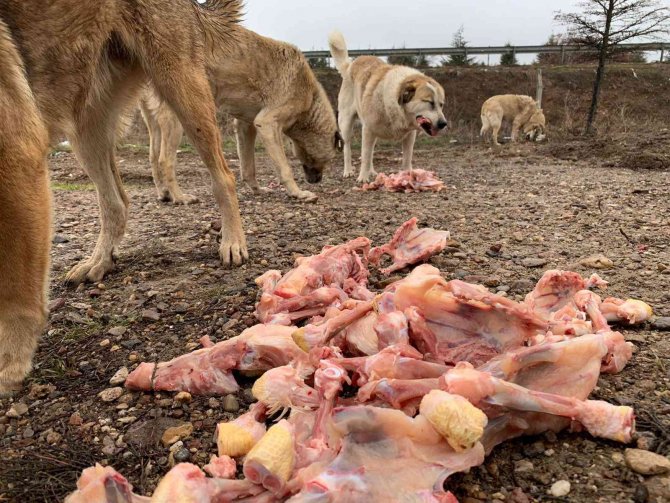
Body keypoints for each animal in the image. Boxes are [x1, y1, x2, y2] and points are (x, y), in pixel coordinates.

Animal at [0, 0, 249, 394]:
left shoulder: (17, 158)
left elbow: (17, 291)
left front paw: (10, 363)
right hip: (87, 121)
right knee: (117, 203)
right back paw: (99, 260)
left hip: (179, 86)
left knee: (223, 176)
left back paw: (232, 241)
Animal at [330, 30, 448, 183]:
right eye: (429, 102)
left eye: (441, 104)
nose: (443, 123)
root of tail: (350, 65)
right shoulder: (367, 130)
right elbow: (365, 156)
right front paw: (363, 178)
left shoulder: (409, 135)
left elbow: (406, 158)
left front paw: (408, 176)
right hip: (346, 124)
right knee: (348, 147)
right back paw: (348, 170)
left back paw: (372, 172)